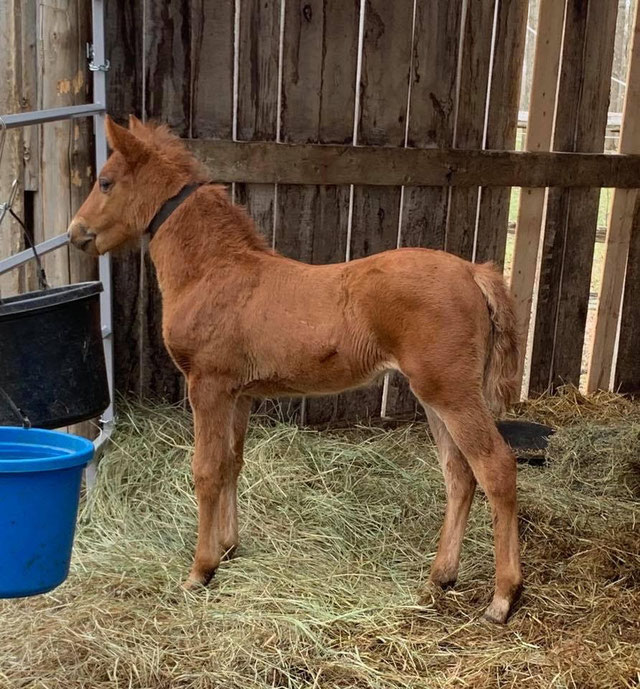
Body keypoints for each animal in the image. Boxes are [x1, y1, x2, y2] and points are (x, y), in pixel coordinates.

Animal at [69, 115, 522, 624]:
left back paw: (503, 597)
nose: (75, 232)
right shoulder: (239, 393)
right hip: (434, 396)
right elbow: (232, 463)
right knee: (458, 474)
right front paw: (228, 547)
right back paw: (440, 576)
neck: (213, 271)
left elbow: (206, 469)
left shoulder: (207, 385)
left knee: (495, 467)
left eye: (106, 181)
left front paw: (200, 570)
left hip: (451, 391)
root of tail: (472, 272)